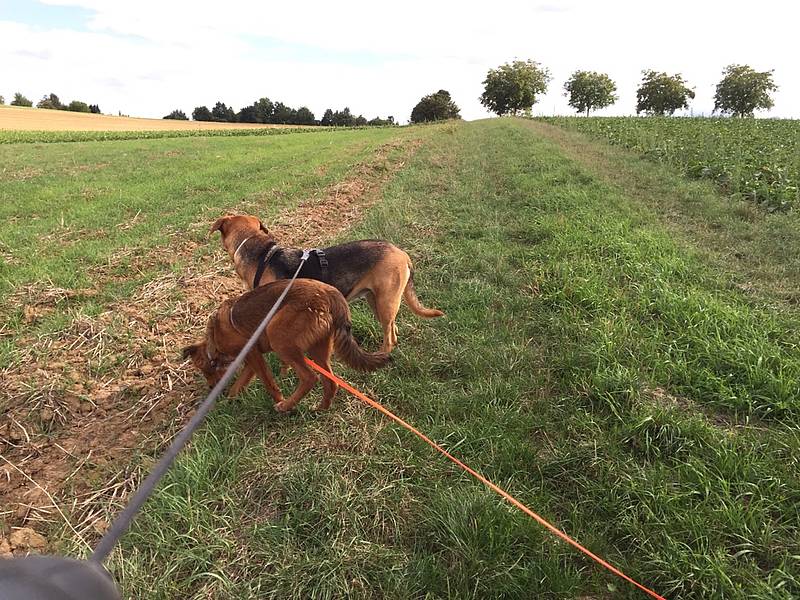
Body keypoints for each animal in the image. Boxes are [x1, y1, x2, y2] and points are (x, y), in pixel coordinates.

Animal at [183, 279, 390, 412]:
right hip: (318, 349)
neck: (214, 338)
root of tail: (329, 293)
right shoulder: (252, 360)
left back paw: (286, 406)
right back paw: (321, 409)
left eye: (204, 370)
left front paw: (279, 401)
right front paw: (230, 400)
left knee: (310, 378)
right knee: (331, 383)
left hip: (278, 337)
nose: (212, 389)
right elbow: (239, 385)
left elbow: (269, 384)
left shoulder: (253, 355)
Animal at [209, 214, 444, 352]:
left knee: (389, 338)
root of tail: (402, 253)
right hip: (376, 301)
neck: (261, 255)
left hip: (385, 303)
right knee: (393, 330)